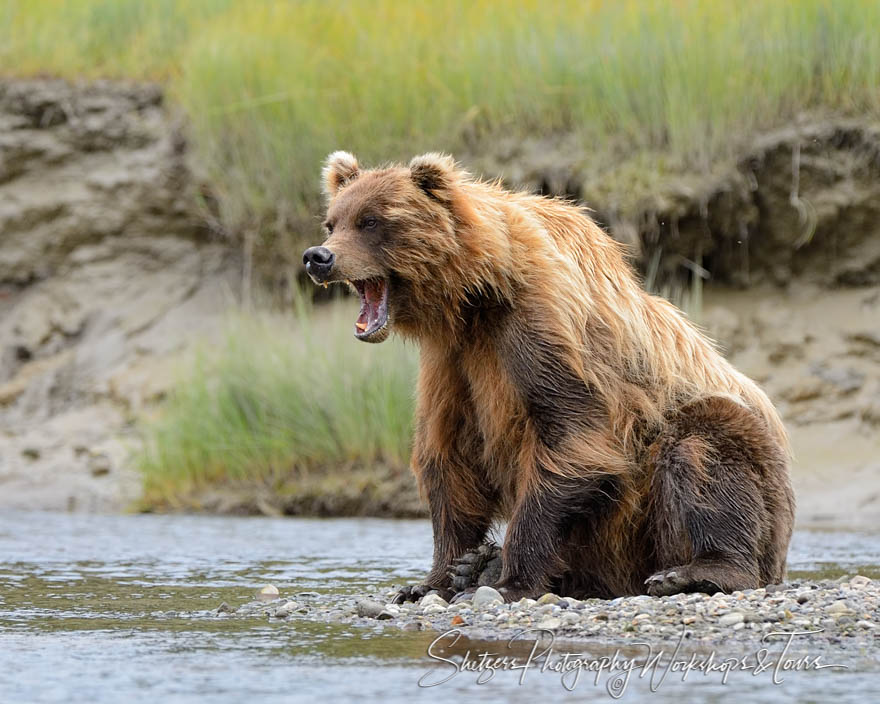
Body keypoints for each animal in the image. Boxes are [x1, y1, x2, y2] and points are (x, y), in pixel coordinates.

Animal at [306, 151, 796, 604]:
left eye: (371, 221)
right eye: (333, 222)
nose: (318, 257)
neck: (479, 291)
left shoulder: (542, 329)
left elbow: (573, 439)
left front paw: (509, 581)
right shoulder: (452, 361)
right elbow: (448, 459)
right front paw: (433, 579)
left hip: (699, 493)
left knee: (706, 447)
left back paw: (696, 571)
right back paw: (476, 566)